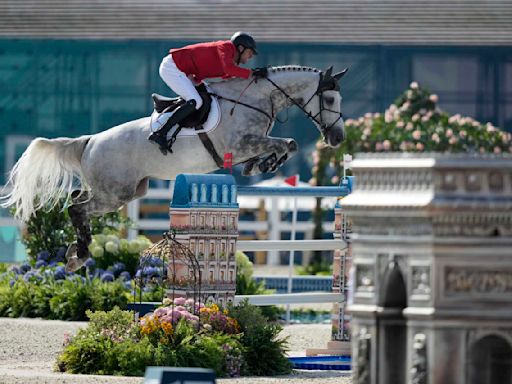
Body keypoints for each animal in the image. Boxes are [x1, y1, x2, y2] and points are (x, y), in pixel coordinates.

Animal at [0, 64, 348, 272]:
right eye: (330, 99)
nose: (338, 138)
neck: (257, 98)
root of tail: (90, 141)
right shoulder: (241, 143)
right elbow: (288, 142)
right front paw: (267, 162)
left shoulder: (248, 145)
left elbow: (283, 145)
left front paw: (261, 165)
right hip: (115, 193)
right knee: (76, 206)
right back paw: (81, 252)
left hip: (127, 192)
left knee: (77, 201)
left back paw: (76, 252)